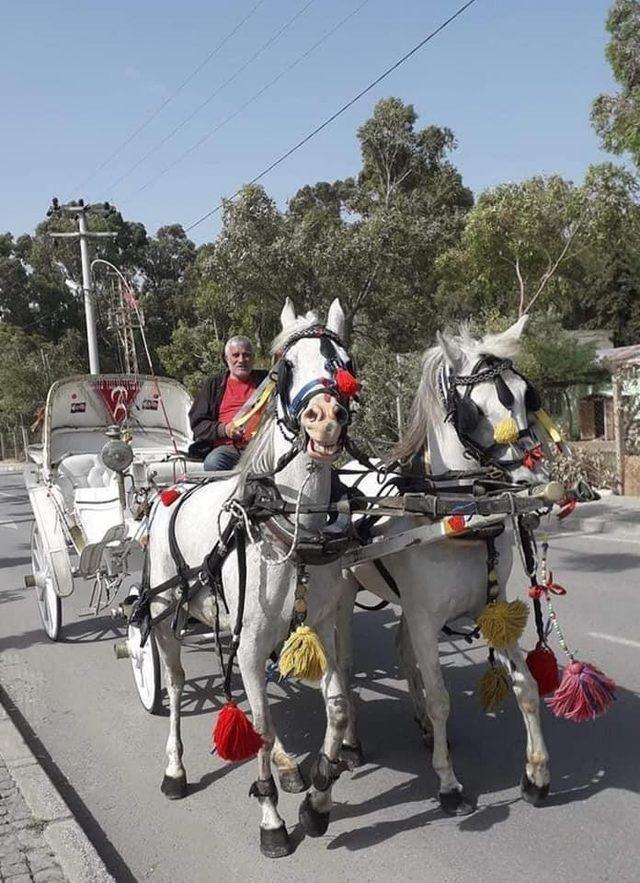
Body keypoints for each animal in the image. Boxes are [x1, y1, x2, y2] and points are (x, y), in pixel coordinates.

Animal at [148, 298, 360, 856]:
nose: (325, 420)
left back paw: (289, 767)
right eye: (286, 368)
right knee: (176, 684)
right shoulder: (249, 638)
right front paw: (272, 820)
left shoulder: (317, 627)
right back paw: (174, 770)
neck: (287, 525)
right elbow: (260, 727)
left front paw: (317, 802)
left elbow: (336, 707)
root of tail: (169, 491)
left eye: (345, 363)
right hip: (163, 615)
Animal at [340, 316, 556, 816]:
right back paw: (352, 742)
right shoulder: (425, 617)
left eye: (528, 396)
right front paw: (449, 784)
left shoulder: (488, 606)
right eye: (474, 410)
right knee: (341, 664)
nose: (534, 483)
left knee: (402, 652)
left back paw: (418, 723)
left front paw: (536, 774)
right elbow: (441, 698)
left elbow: (526, 685)